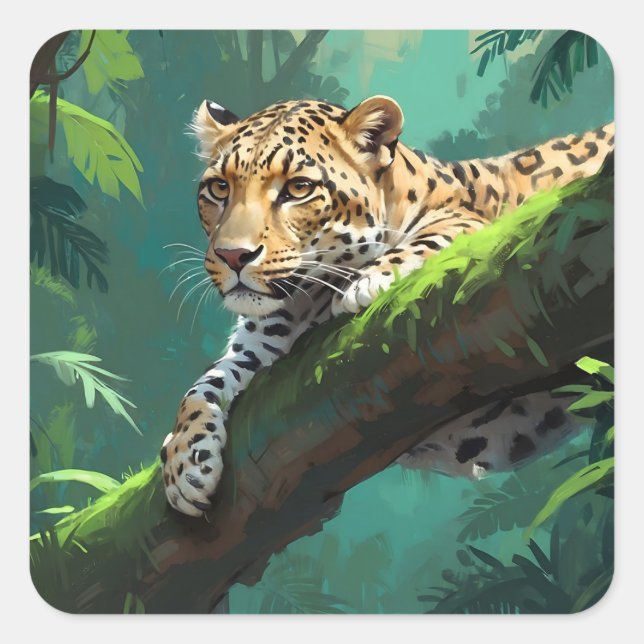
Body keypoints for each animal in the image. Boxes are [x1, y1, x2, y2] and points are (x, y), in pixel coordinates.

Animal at [159, 95, 614, 516]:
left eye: (298, 189)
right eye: (219, 188)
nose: (233, 256)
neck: (303, 302)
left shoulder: (478, 224)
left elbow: (437, 234)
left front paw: (368, 280)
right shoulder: (258, 347)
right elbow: (202, 386)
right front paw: (184, 462)